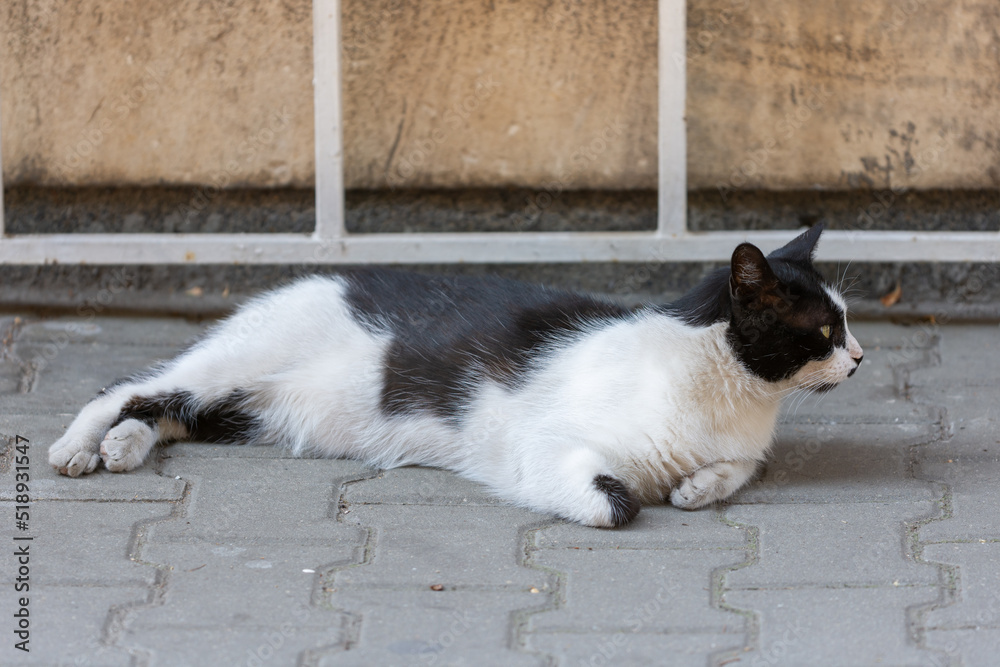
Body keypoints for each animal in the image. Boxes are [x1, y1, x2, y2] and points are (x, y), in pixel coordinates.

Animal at [45, 224, 860, 528]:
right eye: (822, 330)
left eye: (847, 323)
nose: (859, 358)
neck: (735, 398)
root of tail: (314, 278)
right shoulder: (544, 444)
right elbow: (618, 500)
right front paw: (644, 496)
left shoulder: (741, 453)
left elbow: (734, 472)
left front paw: (694, 487)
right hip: (235, 363)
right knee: (123, 388)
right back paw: (80, 447)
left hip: (242, 410)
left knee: (168, 411)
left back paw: (122, 447)